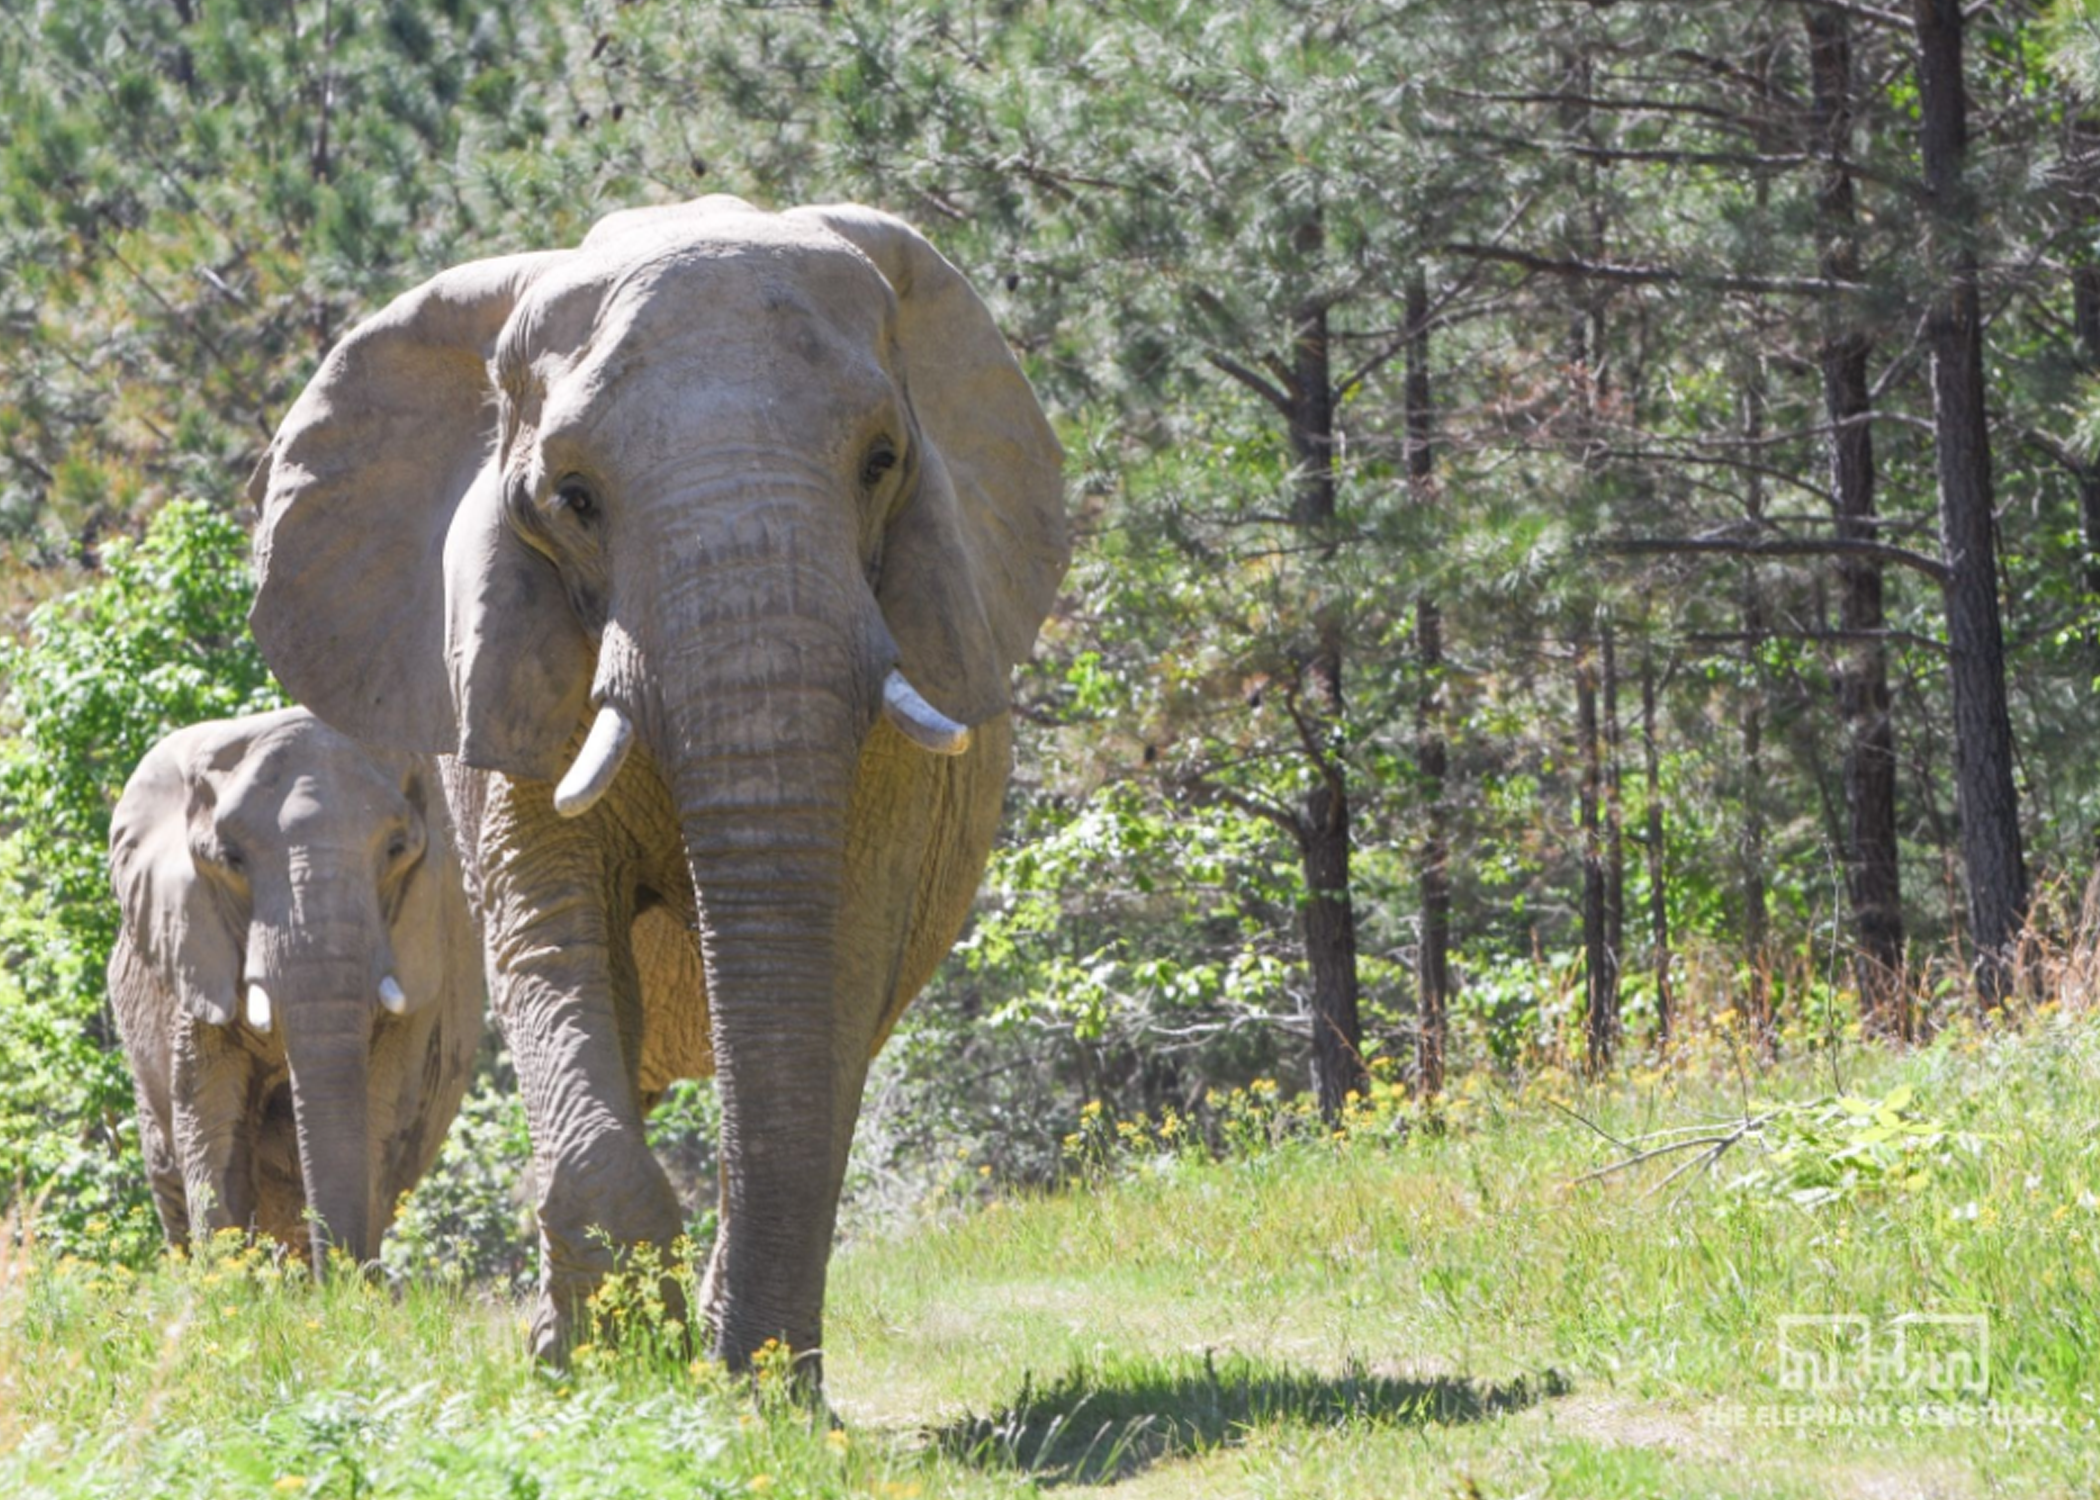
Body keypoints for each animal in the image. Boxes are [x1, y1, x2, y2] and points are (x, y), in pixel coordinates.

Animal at [110, 705, 482, 1268]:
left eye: (396, 849)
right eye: (232, 859)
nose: (340, 1279)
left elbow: (375, 1115)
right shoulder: (192, 950)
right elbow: (209, 1120)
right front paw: (230, 1282)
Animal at [243, 193, 1066, 1369]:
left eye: (881, 461)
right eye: (573, 498)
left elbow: (841, 963)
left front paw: (755, 1382)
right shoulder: (505, 664)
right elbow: (552, 937)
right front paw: (600, 1363)